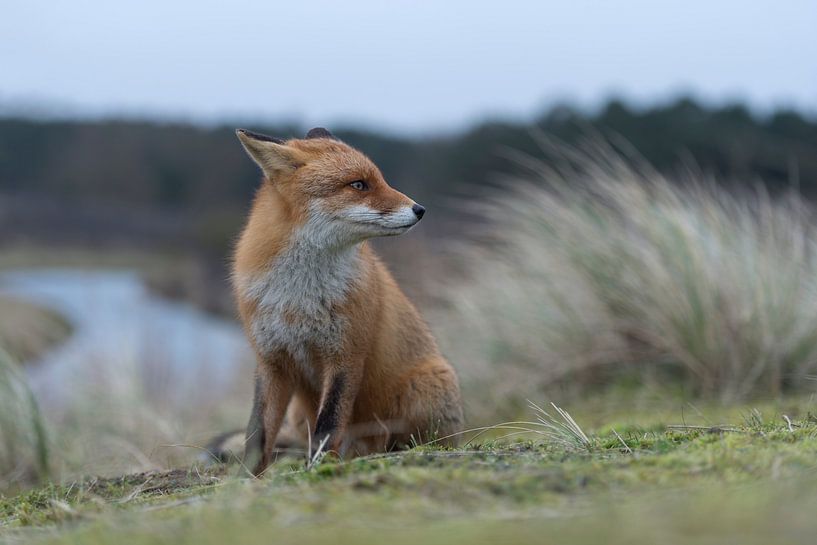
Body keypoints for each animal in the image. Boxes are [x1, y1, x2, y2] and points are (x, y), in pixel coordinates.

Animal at [232, 126, 463, 475]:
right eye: (358, 184)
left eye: (378, 179)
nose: (420, 209)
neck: (299, 297)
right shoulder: (271, 360)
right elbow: (256, 434)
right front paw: (244, 480)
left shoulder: (346, 354)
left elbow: (329, 424)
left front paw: (318, 468)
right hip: (298, 412)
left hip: (426, 390)